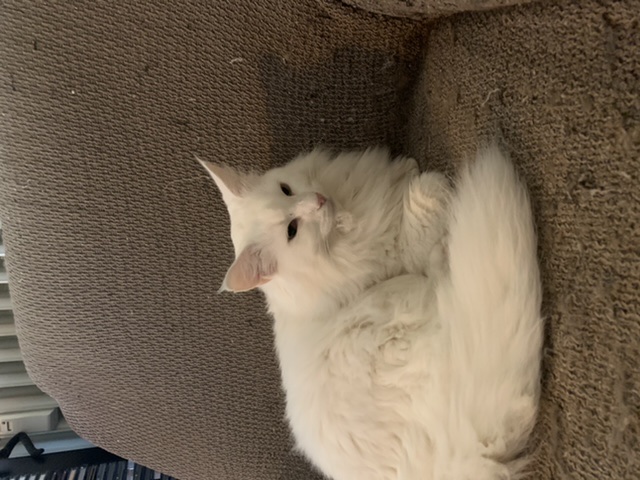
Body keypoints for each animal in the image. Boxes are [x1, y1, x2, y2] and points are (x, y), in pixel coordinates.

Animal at [199, 146, 543, 480]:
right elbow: (423, 201)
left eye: (286, 189)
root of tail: (461, 455)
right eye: (292, 231)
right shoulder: (404, 253)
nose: (317, 202)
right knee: (442, 271)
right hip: (412, 296)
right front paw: (429, 182)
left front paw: (407, 167)